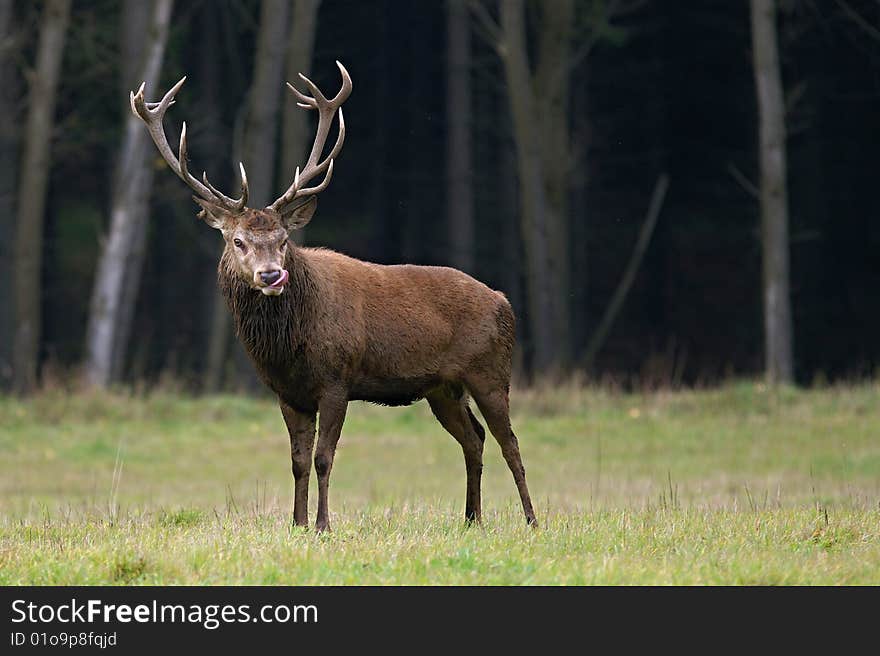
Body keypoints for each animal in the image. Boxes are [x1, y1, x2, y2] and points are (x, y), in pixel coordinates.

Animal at [131, 62, 536, 532]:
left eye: (284, 239)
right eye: (237, 241)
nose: (271, 275)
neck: (287, 346)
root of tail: (504, 302)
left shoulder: (337, 379)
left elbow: (324, 458)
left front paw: (324, 524)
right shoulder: (287, 392)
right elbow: (297, 462)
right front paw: (297, 523)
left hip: (490, 372)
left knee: (510, 442)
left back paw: (531, 519)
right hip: (443, 388)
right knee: (474, 438)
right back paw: (471, 518)